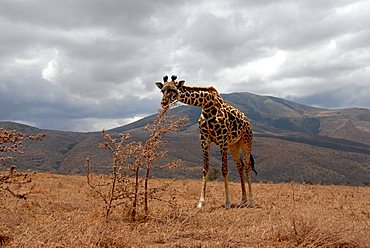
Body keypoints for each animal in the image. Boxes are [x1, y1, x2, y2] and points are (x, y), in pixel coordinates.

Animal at [155, 74, 256, 208]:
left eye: (173, 90)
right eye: (162, 90)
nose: (163, 102)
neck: (207, 105)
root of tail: (248, 121)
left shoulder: (222, 141)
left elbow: (224, 170)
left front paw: (227, 202)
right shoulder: (204, 141)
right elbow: (205, 169)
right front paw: (201, 202)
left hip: (246, 141)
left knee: (248, 166)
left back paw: (251, 201)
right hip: (234, 145)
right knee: (240, 166)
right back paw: (243, 200)